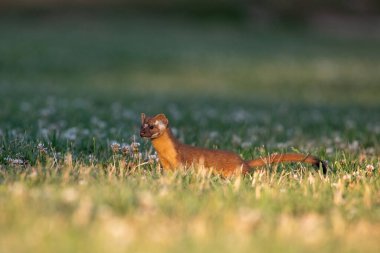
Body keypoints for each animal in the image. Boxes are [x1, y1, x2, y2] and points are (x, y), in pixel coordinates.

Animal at [141, 112, 328, 176]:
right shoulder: (166, 164)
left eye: (152, 126)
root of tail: (243, 161)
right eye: (141, 125)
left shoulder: (182, 160)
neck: (165, 154)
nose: (142, 133)